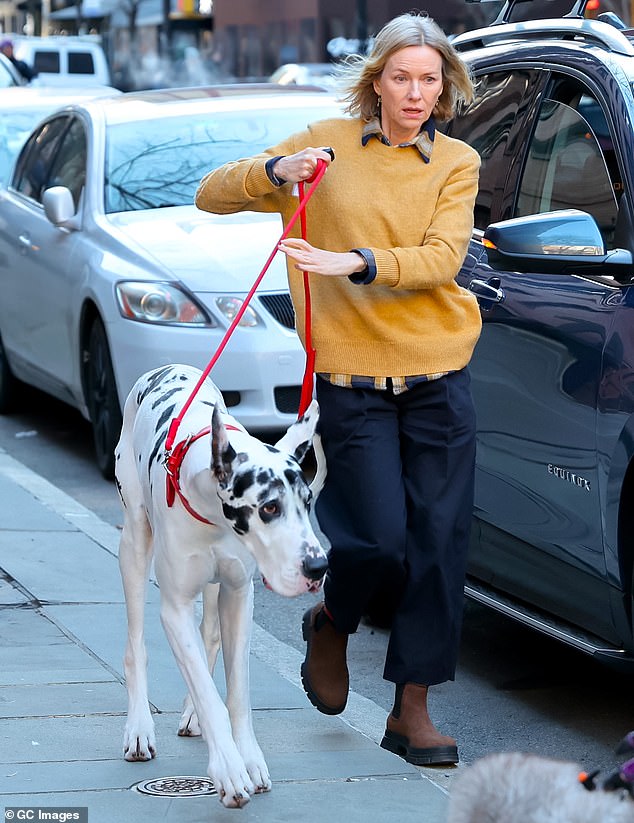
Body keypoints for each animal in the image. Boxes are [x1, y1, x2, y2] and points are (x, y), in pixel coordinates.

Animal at [114, 364, 328, 808]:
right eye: (269, 507)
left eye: (307, 503)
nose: (319, 566)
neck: (210, 511)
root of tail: (168, 366)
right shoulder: (175, 609)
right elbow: (206, 690)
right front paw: (229, 769)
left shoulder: (239, 597)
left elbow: (237, 692)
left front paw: (249, 758)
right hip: (133, 544)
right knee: (136, 644)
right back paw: (139, 726)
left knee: (209, 633)